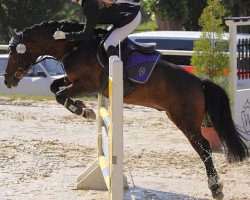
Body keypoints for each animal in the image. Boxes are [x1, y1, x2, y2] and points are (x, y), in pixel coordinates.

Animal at [3, 20, 248, 200]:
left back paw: (216, 188)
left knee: (204, 147)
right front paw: (83, 109)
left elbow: (59, 94)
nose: (7, 81)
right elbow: (55, 87)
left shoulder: (87, 84)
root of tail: (199, 82)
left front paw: (83, 111)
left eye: (14, 53)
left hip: (184, 120)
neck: (75, 47)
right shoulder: (75, 81)